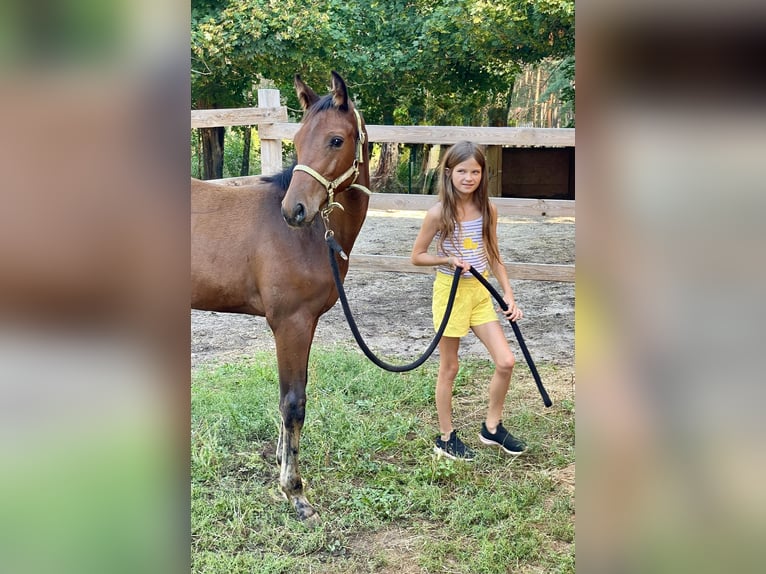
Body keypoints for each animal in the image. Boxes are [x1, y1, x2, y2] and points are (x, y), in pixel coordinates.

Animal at [191, 72, 370, 523]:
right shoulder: (291, 323)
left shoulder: (305, 324)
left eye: (336, 140)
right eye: (300, 138)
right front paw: (295, 492)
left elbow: (289, 397)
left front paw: (283, 465)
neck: (309, 237)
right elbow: (293, 403)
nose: (296, 210)